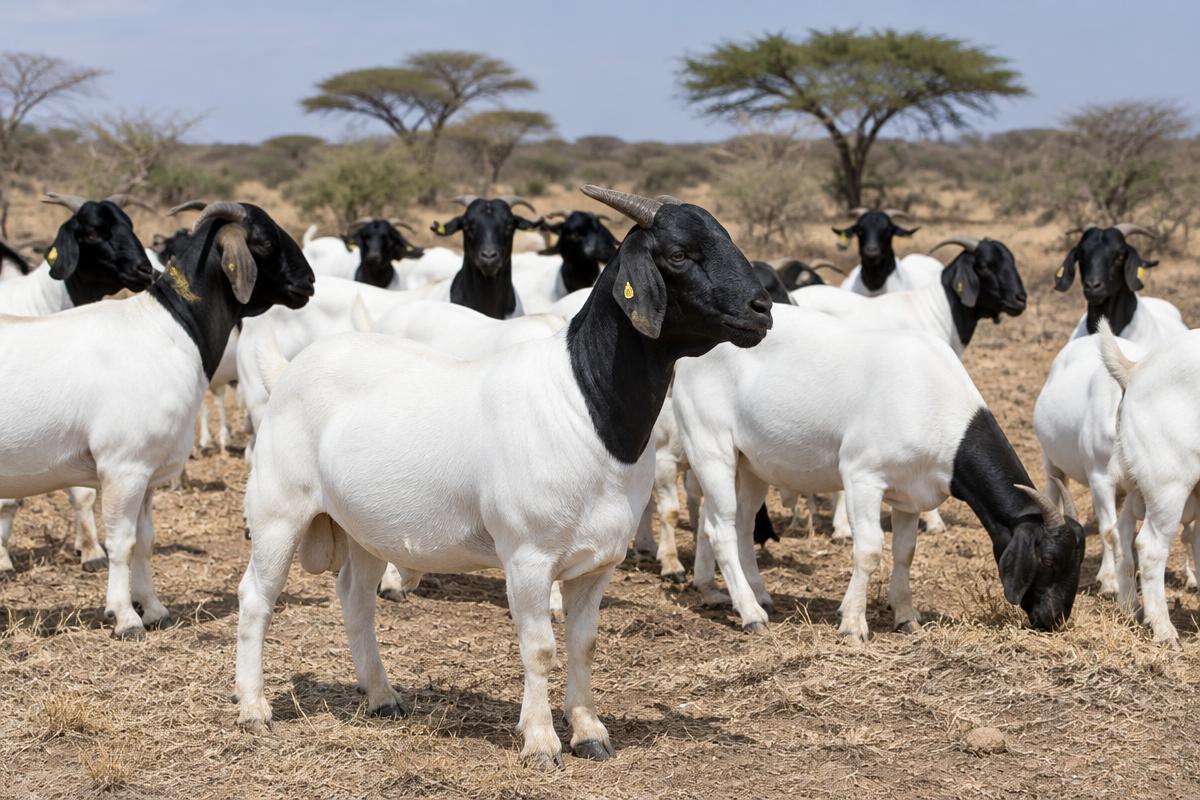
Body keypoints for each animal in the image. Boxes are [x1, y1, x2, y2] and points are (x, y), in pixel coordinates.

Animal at [232, 186, 772, 768]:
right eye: (678, 253)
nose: (762, 310)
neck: (583, 401)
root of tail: (286, 372)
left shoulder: (598, 562)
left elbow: (584, 645)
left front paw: (589, 731)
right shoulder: (528, 557)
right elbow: (540, 648)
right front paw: (540, 740)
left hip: (363, 527)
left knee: (355, 598)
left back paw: (381, 695)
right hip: (278, 511)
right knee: (256, 597)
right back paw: (254, 708)